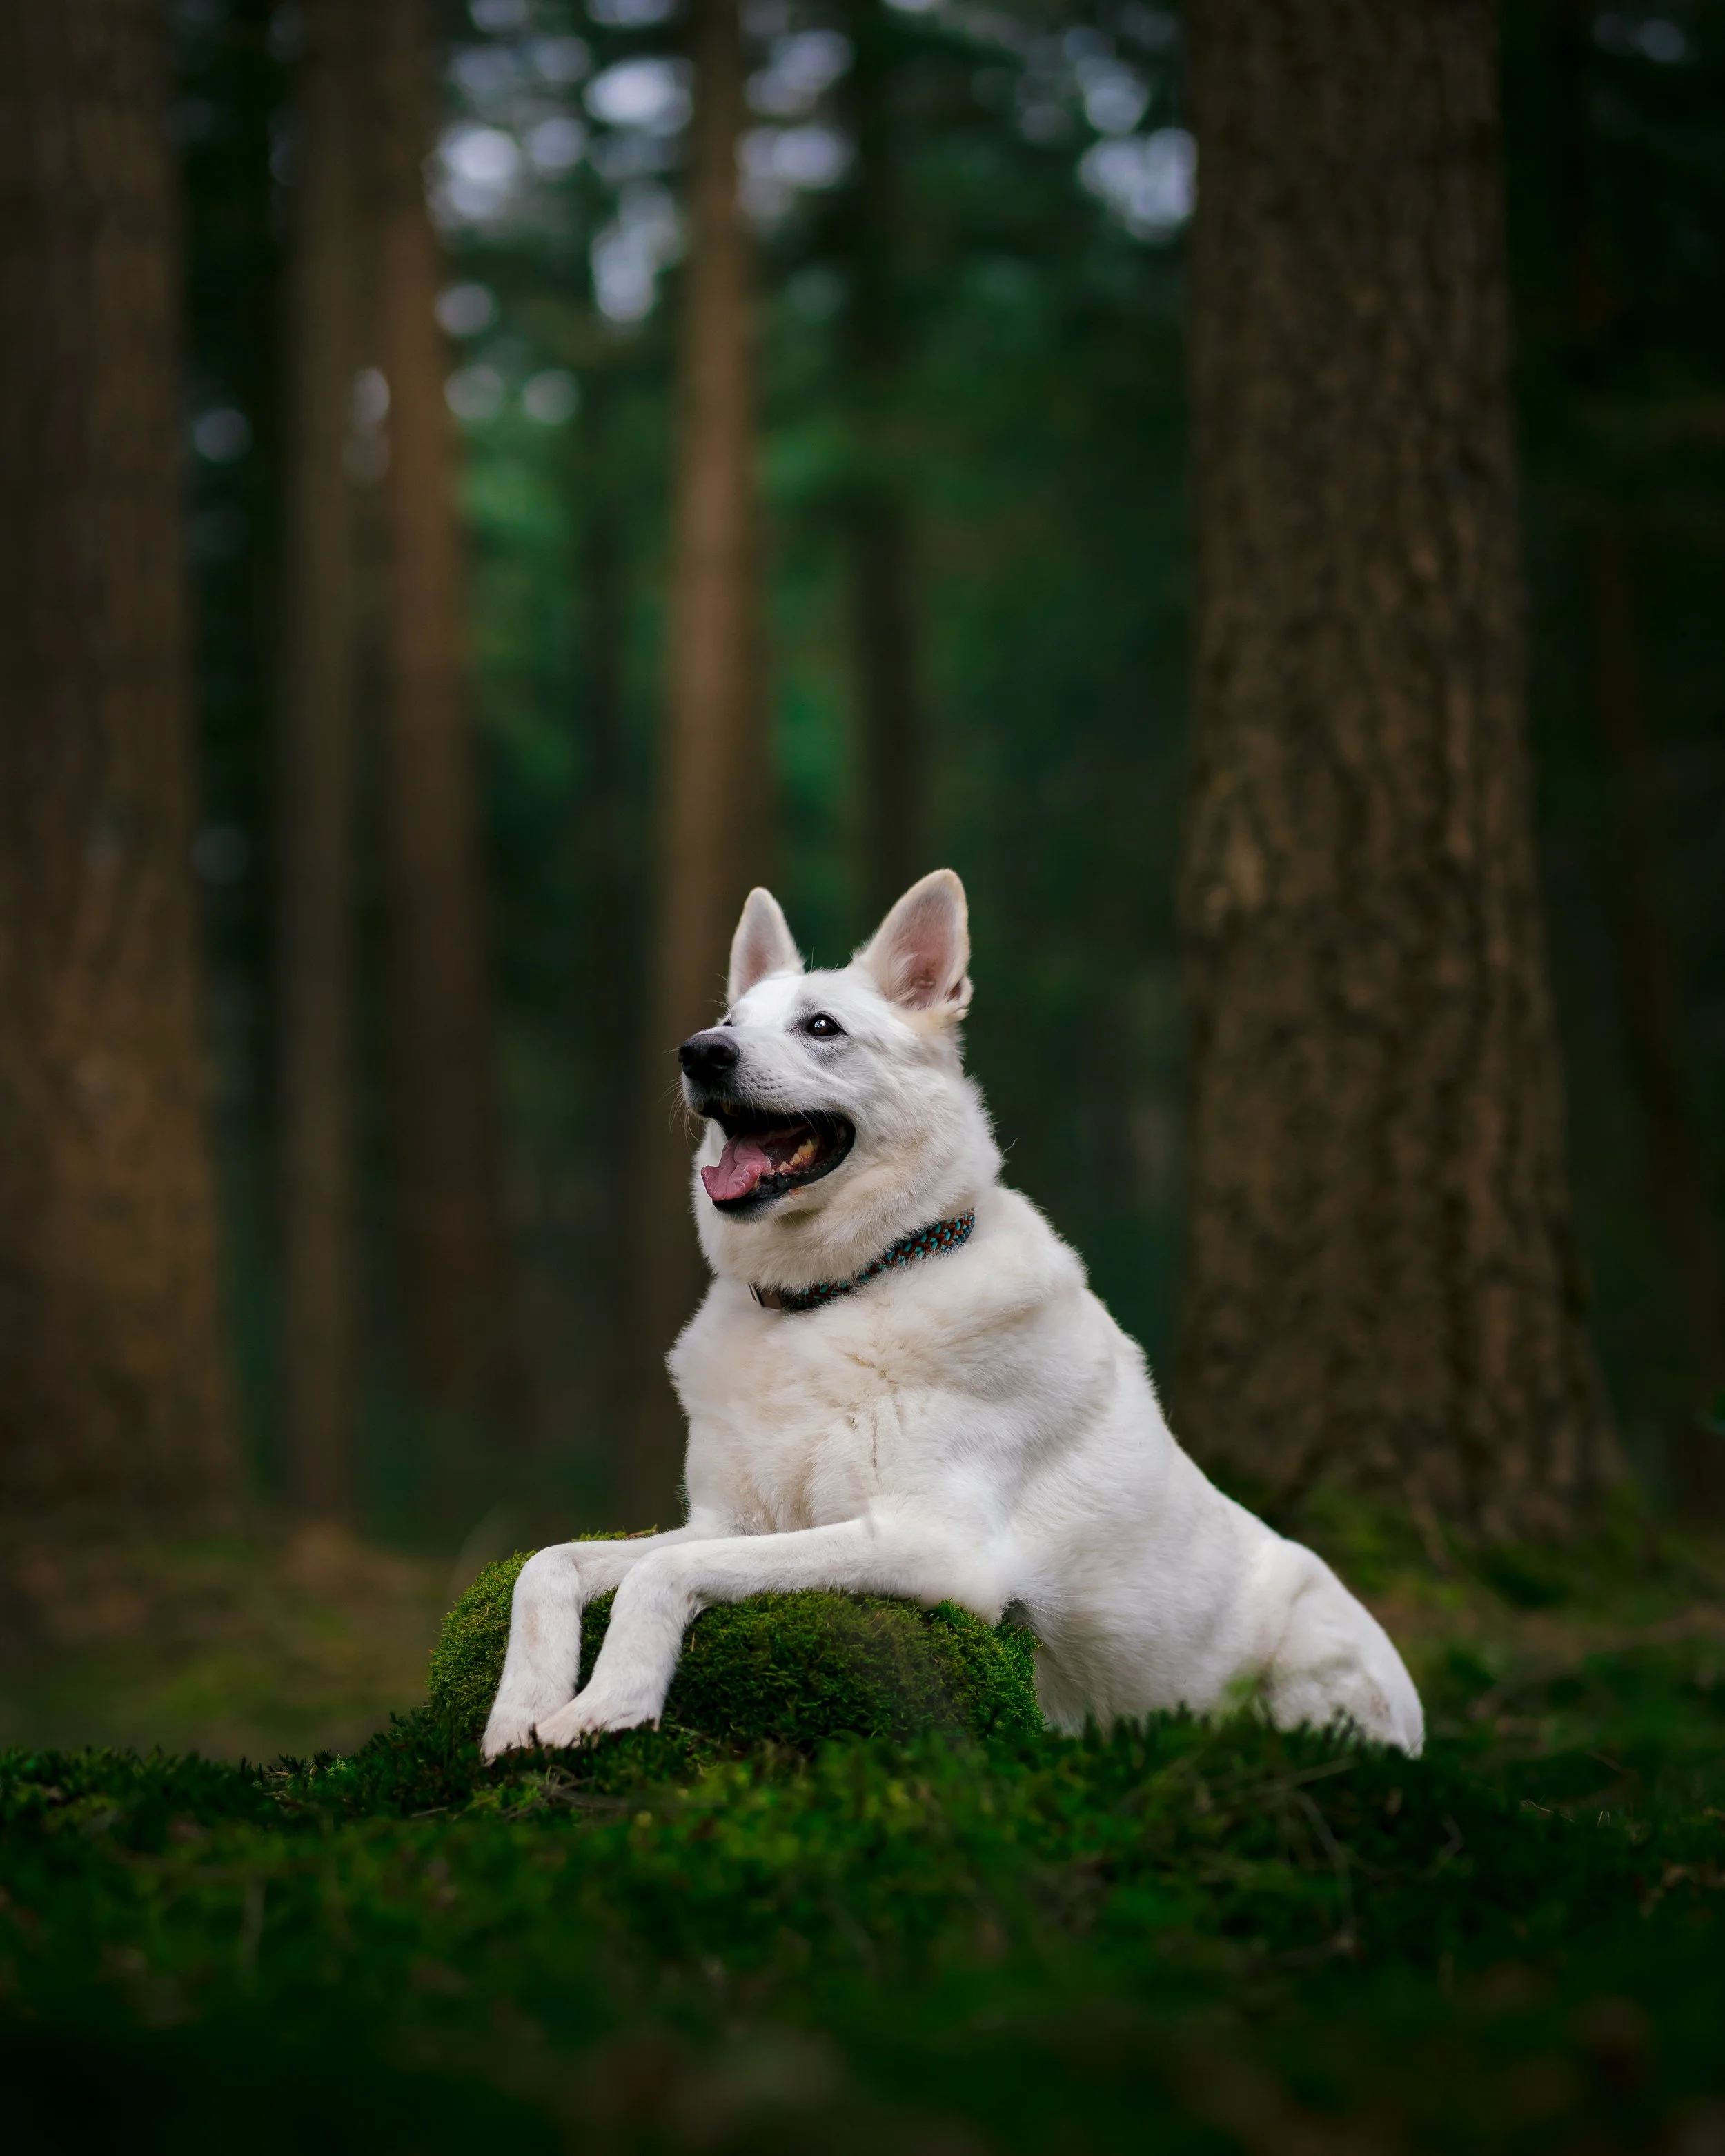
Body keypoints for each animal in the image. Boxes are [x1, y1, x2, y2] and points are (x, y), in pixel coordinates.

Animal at [484, 870, 1424, 1759]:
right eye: (728, 1019)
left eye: (821, 1026)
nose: (699, 1052)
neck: (836, 1292)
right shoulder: (724, 1521)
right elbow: (547, 1564)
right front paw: (519, 1710)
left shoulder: (930, 1543)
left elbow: (666, 1571)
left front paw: (607, 1702)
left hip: (1313, 1663)